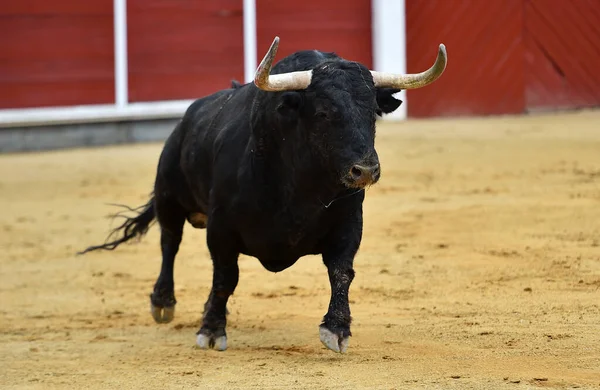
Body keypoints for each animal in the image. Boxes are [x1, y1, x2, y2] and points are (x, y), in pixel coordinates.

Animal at [81, 37, 446, 354]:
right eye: (323, 113)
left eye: (372, 112)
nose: (366, 170)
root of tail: (187, 118)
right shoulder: (221, 228)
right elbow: (225, 277)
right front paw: (211, 331)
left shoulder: (349, 223)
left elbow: (342, 271)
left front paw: (337, 329)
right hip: (168, 195)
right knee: (169, 242)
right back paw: (163, 303)